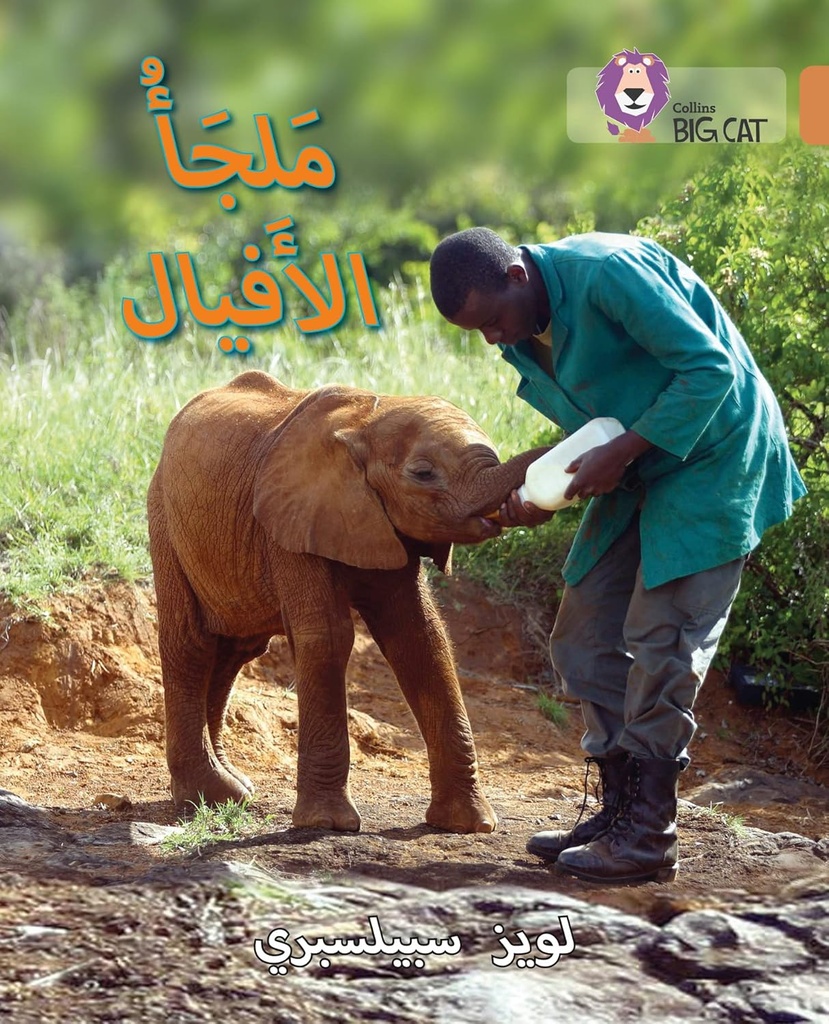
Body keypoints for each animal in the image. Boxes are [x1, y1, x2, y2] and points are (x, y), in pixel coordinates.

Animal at [147, 369, 547, 833]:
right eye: (423, 473)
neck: (366, 422)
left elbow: (421, 639)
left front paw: (470, 825)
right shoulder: (289, 520)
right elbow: (329, 637)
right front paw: (327, 825)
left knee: (233, 650)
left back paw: (233, 789)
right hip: (165, 518)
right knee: (192, 643)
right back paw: (210, 796)